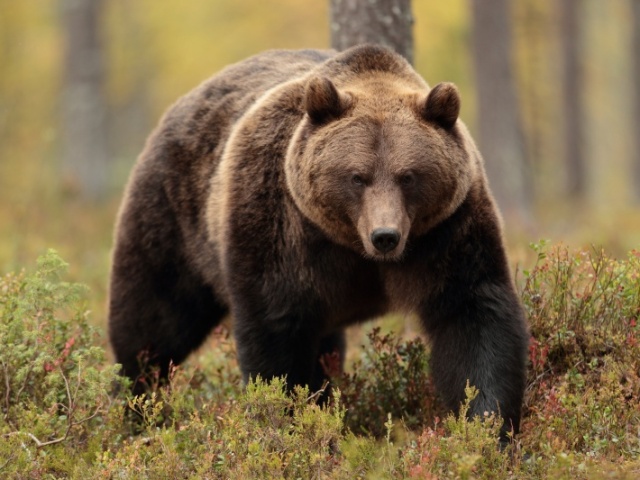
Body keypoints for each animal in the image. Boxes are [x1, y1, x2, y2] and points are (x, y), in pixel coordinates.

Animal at [110, 45, 528, 442]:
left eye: (408, 175)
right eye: (357, 176)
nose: (385, 236)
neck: (353, 246)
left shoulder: (448, 230)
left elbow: (472, 317)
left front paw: (487, 426)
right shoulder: (282, 228)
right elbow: (276, 333)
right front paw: (291, 423)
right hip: (175, 216)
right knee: (154, 321)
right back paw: (133, 407)